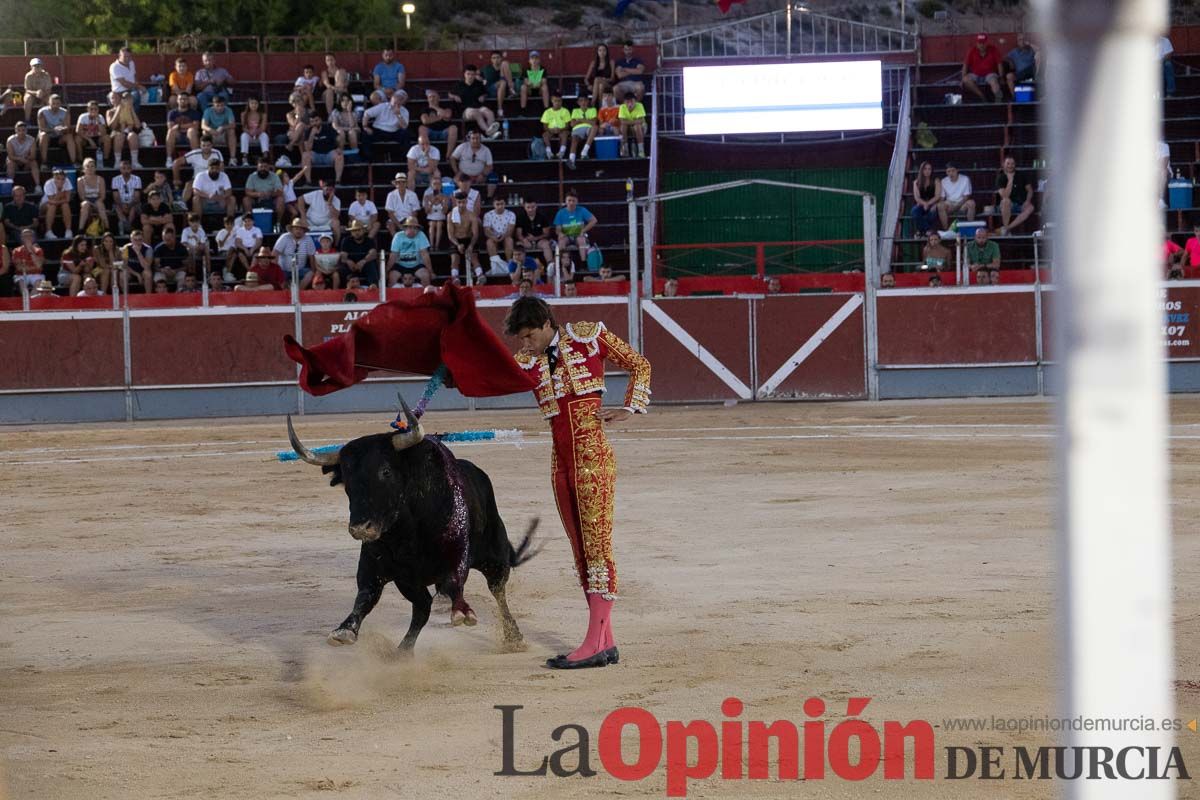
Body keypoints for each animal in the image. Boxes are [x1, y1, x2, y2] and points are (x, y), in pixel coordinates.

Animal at [286, 402, 540, 652]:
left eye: (386, 471)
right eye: (347, 480)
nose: (359, 528)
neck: (407, 533)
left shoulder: (457, 550)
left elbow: (455, 581)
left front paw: (461, 611)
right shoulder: (377, 563)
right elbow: (366, 594)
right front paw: (345, 630)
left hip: (495, 557)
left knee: (497, 590)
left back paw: (514, 637)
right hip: (411, 582)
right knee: (422, 607)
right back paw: (403, 651)